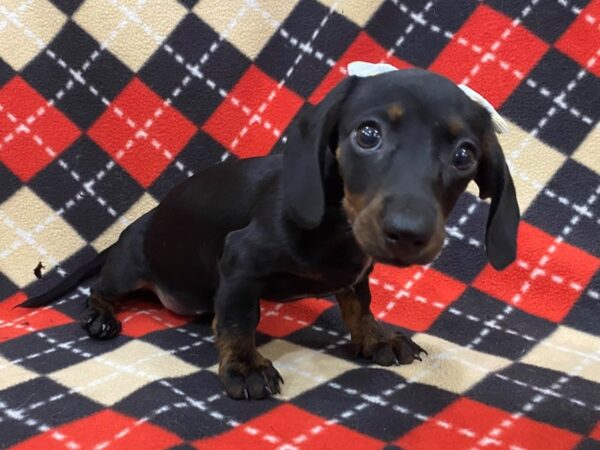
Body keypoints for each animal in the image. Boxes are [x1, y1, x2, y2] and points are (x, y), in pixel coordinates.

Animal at [19, 70, 520, 400]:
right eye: (368, 134)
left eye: (464, 155)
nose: (408, 233)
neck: (337, 227)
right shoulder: (240, 261)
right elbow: (240, 321)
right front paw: (244, 366)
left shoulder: (356, 274)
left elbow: (359, 307)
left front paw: (376, 339)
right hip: (128, 268)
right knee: (101, 290)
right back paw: (100, 315)